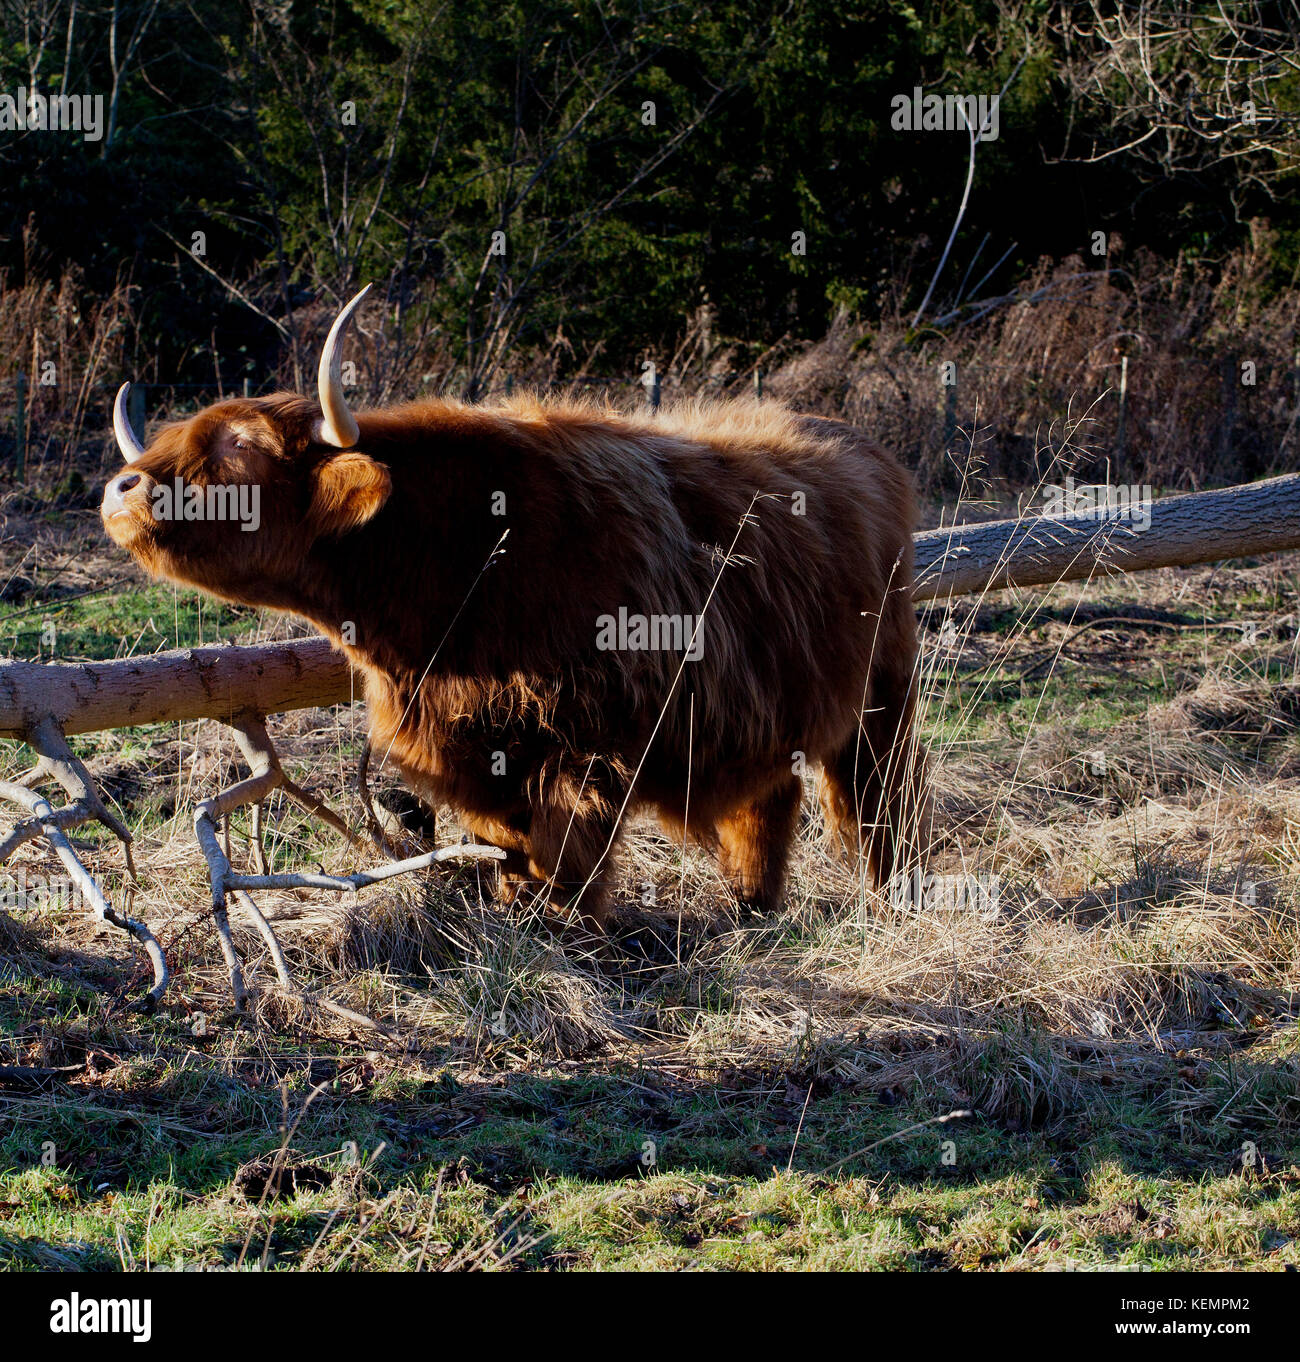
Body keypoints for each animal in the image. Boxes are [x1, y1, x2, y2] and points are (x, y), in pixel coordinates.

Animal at [101, 288, 925, 935]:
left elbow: (564, 859)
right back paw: (751, 909)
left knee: (880, 801)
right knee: (768, 800)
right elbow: (507, 850)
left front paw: (562, 934)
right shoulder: (472, 751)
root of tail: (865, 447)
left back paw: (889, 900)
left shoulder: (585, 752)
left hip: (883, 693)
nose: (123, 486)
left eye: (242, 443)